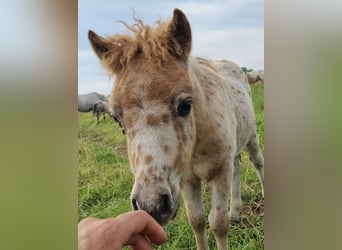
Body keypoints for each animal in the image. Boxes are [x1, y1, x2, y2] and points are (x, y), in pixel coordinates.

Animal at [88, 8, 264, 250]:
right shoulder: (188, 178)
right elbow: (197, 220)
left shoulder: (220, 170)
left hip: (252, 135)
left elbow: (218, 222)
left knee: (257, 162)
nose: (151, 205)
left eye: (185, 105)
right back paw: (236, 211)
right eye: (116, 118)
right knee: (237, 166)